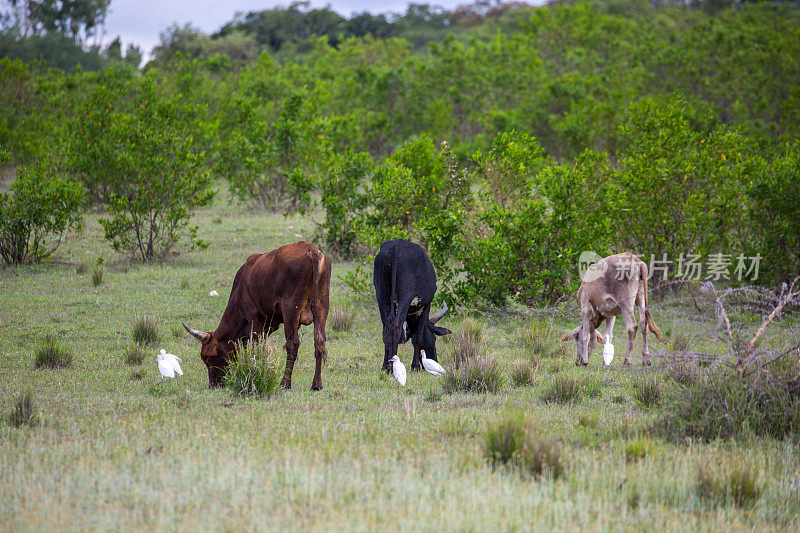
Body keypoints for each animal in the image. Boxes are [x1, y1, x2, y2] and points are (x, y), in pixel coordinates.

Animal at [183, 243, 330, 388]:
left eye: (207, 358)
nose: (213, 385)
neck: (241, 286)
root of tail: (311, 248)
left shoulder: (255, 321)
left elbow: (255, 348)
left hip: (290, 310)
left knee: (292, 345)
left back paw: (285, 383)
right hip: (321, 307)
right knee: (319, 342)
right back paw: (317, 384)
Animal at [374, 239, 450, 372]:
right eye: (434, 338)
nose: (435, 360)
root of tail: (397, 245)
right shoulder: (425, 308)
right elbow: (417, 337)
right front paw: (415, 366)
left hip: (381, 297)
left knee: (386, 329)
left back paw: (385, 366)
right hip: (404, 297)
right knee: (396, 328)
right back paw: (391, 367)